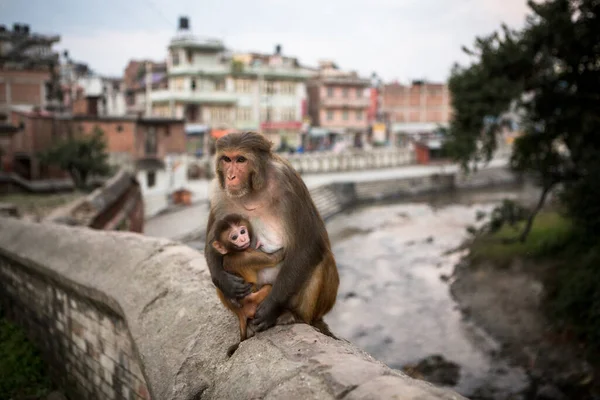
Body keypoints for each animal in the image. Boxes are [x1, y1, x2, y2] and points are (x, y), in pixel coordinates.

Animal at [204, 131, 340, 334]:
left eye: (241, 159)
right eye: (227, 159)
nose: (231, 176)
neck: (253, 190)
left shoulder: (289, 184)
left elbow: (308, 244)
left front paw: (269, 309)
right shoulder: (220, 193)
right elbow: (212, 243)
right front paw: (225, 282)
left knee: (321, 259)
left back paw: (294, 316)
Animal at [210, 212, 284, 356]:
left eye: (242, 231)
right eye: (234, 237)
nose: (243, 239)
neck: (233, 252)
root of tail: (240, 313)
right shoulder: (246, 256)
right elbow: (275, 258)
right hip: (255, 303)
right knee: (268, 287)